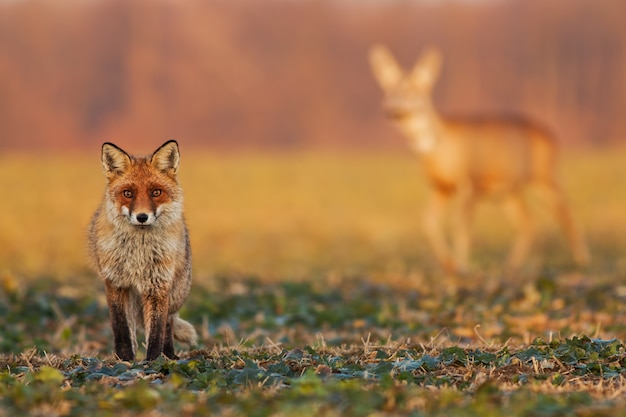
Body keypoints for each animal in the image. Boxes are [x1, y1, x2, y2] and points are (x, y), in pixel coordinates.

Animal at [86, 141, 196, 360]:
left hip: (175, 294)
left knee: (168, 324)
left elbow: (156, 331)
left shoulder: (158, 285)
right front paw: (125, 360)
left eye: (156, 192)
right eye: (128, 193)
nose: (142, 217)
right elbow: (121, 329)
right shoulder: (116, 283)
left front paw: (153, 361)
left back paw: (170, 356)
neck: (138, 253)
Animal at [368, 44, 588, 272]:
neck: (440, 148)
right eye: (387, 91)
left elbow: (461, 228)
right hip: (507, 192)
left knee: (568, 218)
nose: (392, 111)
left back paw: (582, 263)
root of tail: (551, 134)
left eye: (415, 91)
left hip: (545, 176)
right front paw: (448, 264)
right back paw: (510, 266)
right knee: (529, 224)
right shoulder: (440, 188)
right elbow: (428, 222)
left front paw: (462, 266)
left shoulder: (470, 181)